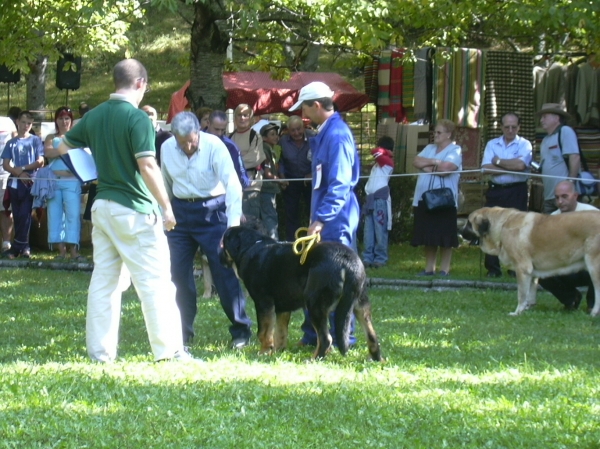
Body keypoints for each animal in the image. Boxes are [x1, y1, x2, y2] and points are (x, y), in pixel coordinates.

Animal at [218, 226, 382, 358]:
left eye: (223, 243)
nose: (218, 256)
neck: (250, 247)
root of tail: (347, 260)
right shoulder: (282, 308)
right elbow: (280, 332)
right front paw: (277, 351)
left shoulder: (263, 302)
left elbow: (264, 332)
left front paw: (264, 352)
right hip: (360, 304)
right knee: (372, 336)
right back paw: (377, 359)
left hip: (315, 303)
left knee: (325, 338)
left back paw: (314, 359)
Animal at [462, 206, 600, 316]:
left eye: (469, 223)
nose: (460, 232)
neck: (502, 226)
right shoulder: (532, 273)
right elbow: (530, 293)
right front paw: (528, 309)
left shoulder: (522, 269)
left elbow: (522, 294)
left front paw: (517, 312)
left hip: (594, 267)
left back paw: (593, 312)